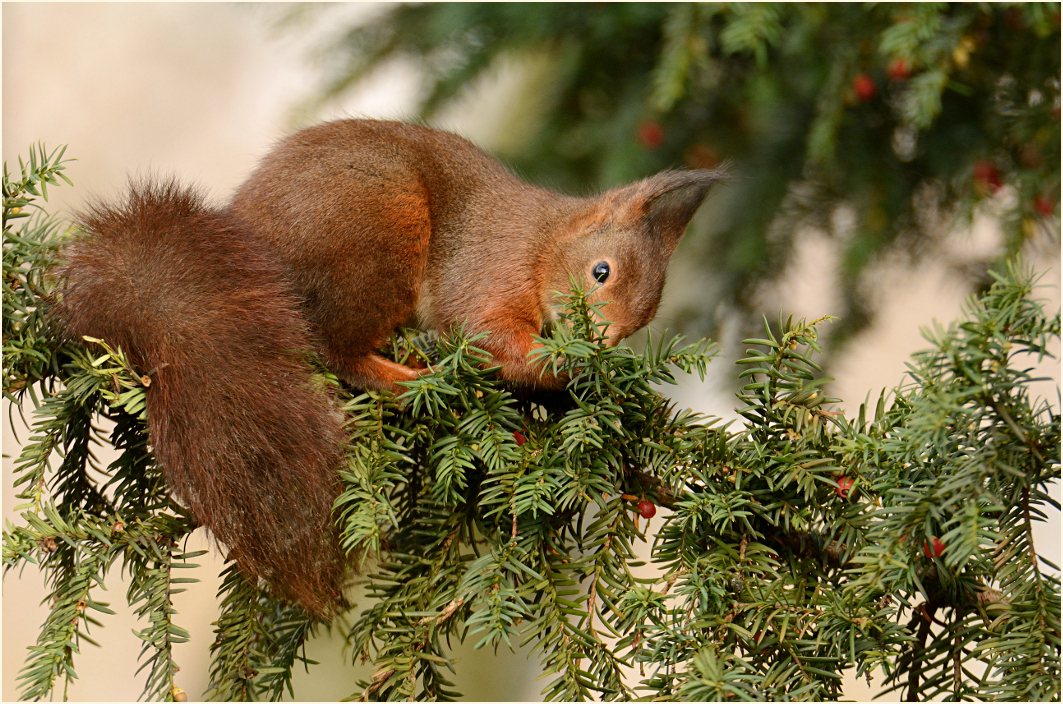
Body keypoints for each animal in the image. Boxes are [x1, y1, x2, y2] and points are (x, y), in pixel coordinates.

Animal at [53, 118, 727, 616]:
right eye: (600, 272)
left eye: (643, 321)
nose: (601, 344)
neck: (542, 243)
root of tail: (246, 240)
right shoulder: (486, 272)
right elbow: (488, 336)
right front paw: (570, 369)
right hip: (380, 228)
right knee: (336, 349)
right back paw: (410, 378)